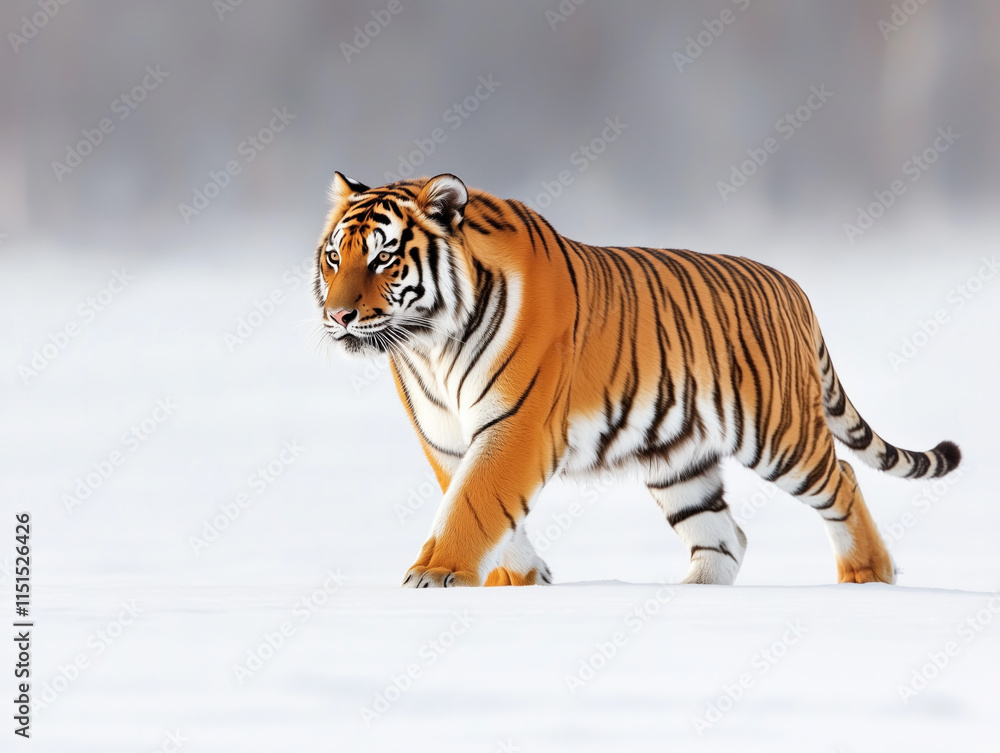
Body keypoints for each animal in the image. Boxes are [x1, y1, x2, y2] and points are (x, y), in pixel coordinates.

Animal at [314, 172, 961, 588]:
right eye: (334, 257)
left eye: (383, 258)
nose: (339, 315)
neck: (430, 346)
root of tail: (793, 287)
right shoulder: (445, 436)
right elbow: (473, 500)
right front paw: (521, 578)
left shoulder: (516, 426)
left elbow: (474, 501)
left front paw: (436, 573)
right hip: (678, 454)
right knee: (724, 535)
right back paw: (690, 592)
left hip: (777, 433)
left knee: (843, 478)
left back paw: (868, 577)